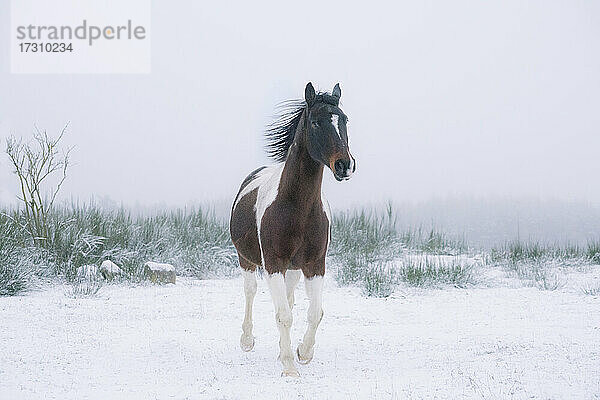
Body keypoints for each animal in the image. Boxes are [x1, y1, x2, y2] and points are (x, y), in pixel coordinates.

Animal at [229, 83, 354, 376]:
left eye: (344, 120)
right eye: (316, 122)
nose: (344, 165)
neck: (297, 208)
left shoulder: (315, 264)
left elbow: (314, 312)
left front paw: (302, 353)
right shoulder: (273, 263)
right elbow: (283, 315)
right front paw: (289, 367)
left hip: (294, 268)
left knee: (289, 298)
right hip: (247, 259)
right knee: (250, 291)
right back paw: (247, 340)